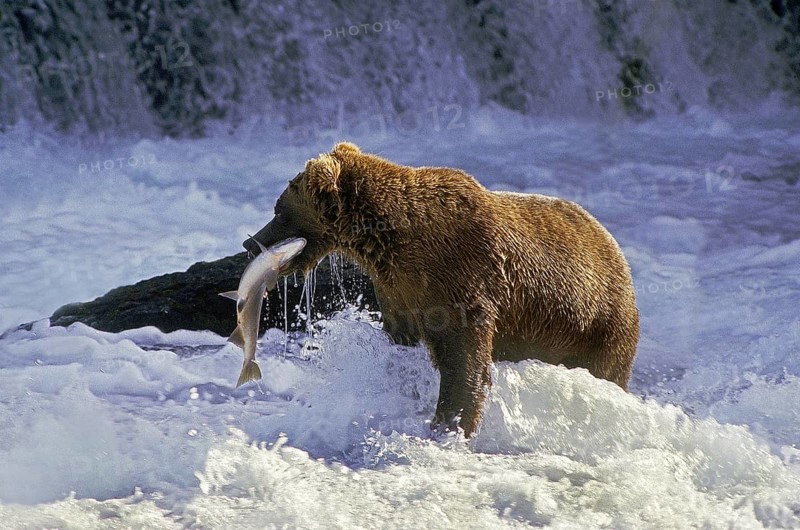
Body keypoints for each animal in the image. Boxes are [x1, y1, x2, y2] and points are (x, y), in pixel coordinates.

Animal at [244, 142, 639, 437]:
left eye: (279, 210)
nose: (250, 243)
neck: (390, 241)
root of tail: (617, 251)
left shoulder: (462, 278)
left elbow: (464, 361)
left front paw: (449, 425)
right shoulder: (399, 291)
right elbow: (403, 340)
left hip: (598, 326)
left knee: (608, 371)